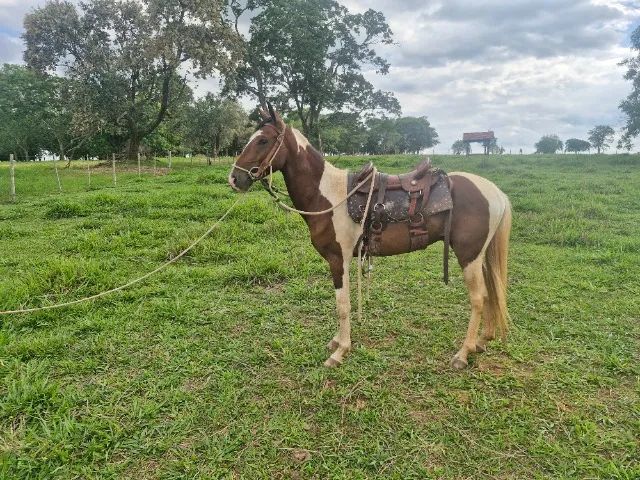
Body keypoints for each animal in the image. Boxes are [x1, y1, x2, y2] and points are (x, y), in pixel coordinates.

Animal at [229, 106, 512, 369]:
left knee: (478, 299)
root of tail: (495, 192)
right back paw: (480, 342)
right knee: (490, 293)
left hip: (468, 256)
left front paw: (340, 350)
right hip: (480, 256)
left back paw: (463, 353)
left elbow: (342, 305)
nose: (234, 178)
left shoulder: (338, 259)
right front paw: (338, 341)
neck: (328, 195)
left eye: (263, 140)